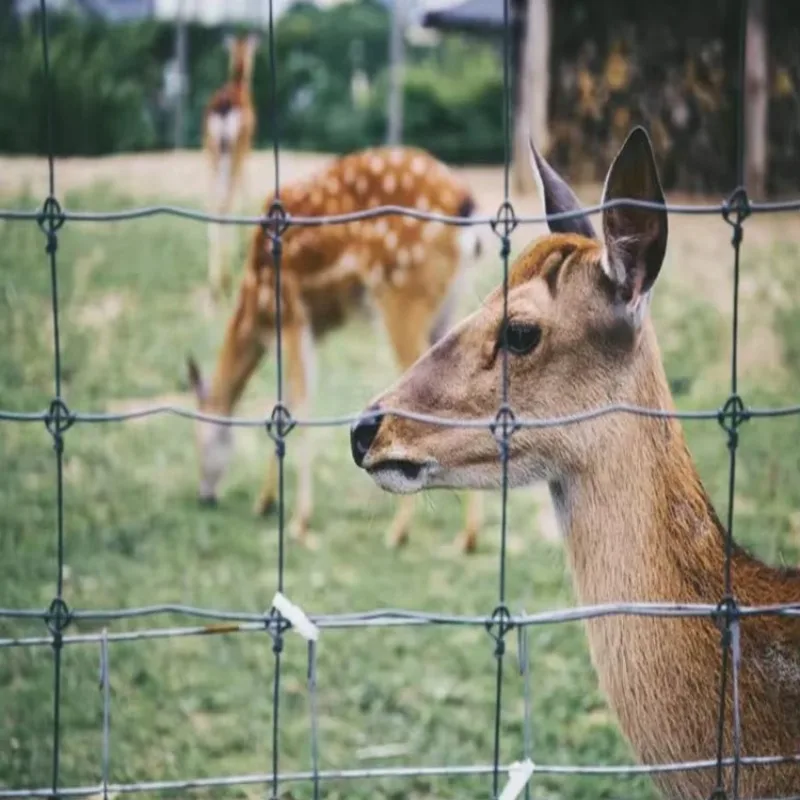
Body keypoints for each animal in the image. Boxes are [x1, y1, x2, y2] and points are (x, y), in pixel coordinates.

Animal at [187, 145, 486, 551]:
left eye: (199, 441)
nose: (205, 496)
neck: (255, 307)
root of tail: (465, 207)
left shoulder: (290, 314)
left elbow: (299, 404)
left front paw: (299, 522)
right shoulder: (315, 327)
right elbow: (285, 403)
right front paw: (265, 502)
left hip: (401, 292)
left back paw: (399, 532)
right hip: (449, 304)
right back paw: (467, 536)